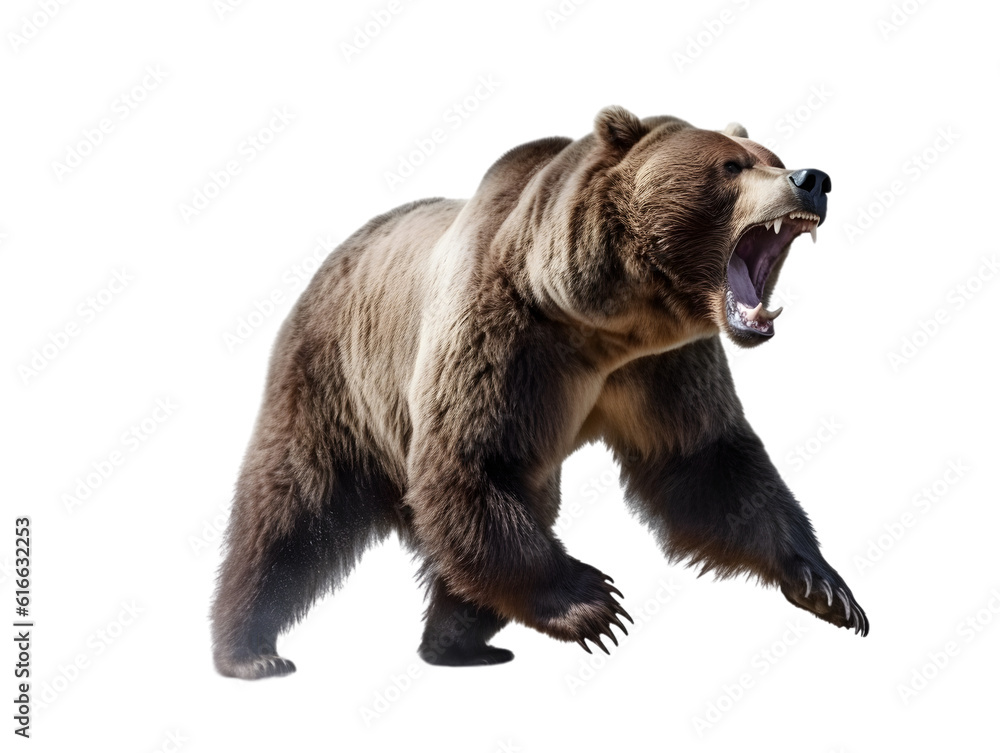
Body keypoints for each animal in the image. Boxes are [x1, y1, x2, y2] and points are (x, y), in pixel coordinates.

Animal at [211, 106, 867, 679]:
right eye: (731, 166)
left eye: (772, 156)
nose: (812, 179)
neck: (602, 327)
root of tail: (336, 255)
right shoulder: (505, 336)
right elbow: (474, 462)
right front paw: (595, 603)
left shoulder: (664, 368)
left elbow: (706, 463)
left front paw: (826, 586)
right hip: (334, 380)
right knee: (290, 511)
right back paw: (250, 651)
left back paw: (458, 641)